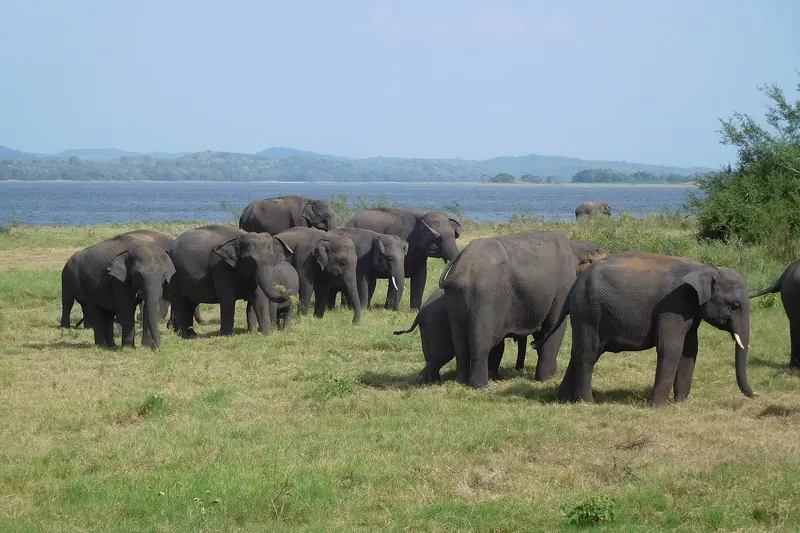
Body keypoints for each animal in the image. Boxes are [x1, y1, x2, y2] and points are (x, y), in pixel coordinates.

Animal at [397, 239, 607, 384]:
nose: (519, 368)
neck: (578, 246)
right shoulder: (561, 289)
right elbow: (554, 329)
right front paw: (546, 379)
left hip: (457, 302)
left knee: (460, 345)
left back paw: (457, 381)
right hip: (483, 298)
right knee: (478, 344)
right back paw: (480, 385)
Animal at [547, 251, 753, 407]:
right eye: (735, 306)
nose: (755, 395)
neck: (703, 268)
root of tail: (577, 280)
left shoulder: (690, 310)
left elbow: (690, 348)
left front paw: (680, 403)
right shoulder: (673, 305)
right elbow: (670, 348)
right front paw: (658, 406)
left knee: (581, 351)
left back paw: (564, 398)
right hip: (588, 311)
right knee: (588, 354)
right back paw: (588, 403)